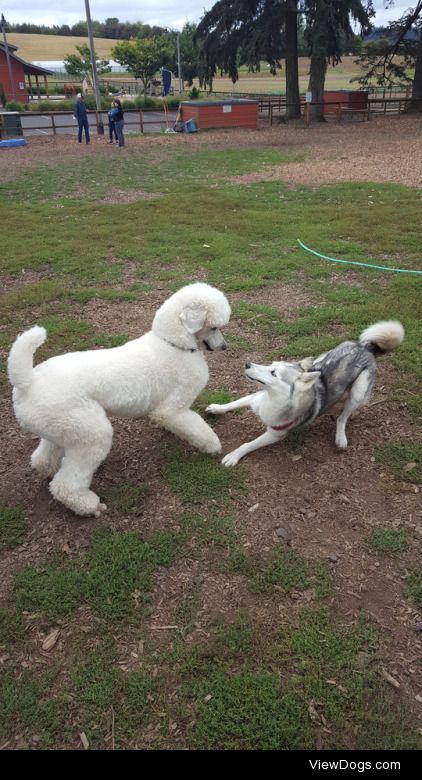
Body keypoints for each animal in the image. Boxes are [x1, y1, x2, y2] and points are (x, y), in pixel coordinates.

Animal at [206, 322, 404, 466]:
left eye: (273, 373)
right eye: (271, 364)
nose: (247, 364)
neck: (271, 399)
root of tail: (366, 348)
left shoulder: (275, 434)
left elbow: (248, 444)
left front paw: (234, 456)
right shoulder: (254, 399)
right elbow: (231, 404)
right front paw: (216, 408)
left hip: (358, 393)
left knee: (343, 417)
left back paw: (340, 437)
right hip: (320, 359)